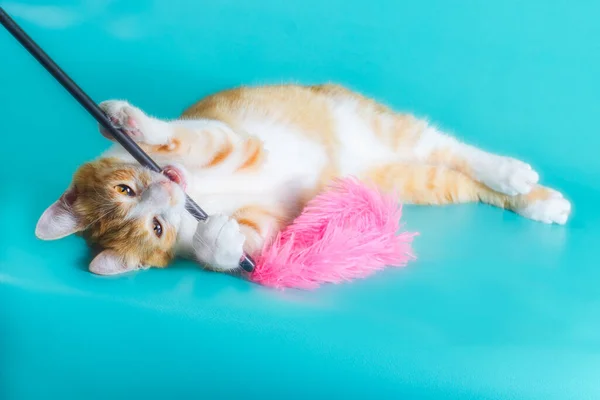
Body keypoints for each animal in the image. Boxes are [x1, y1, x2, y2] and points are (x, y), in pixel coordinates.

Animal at [34, 83, 572, 276]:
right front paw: (217, 239)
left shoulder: (230, 141)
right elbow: (244, 241)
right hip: (403, 179)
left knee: (456, 151)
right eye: (157, 229)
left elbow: (190, 138)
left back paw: (512, 171)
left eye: (126, 188)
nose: (168, 190)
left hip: (384, 127)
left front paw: (128, 121)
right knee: (453, 176)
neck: (202, 191)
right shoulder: (267, 221)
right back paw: (540, 201)